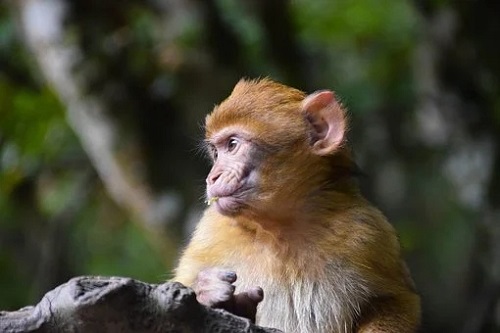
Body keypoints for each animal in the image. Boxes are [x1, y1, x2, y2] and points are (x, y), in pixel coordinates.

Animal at [174, 78, 420, 332]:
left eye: (232, 145)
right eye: (216, 152)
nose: (212, 177)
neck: (279, 230)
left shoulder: (370, 232)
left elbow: (396, 301)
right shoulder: (209, 233)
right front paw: (214, 297)